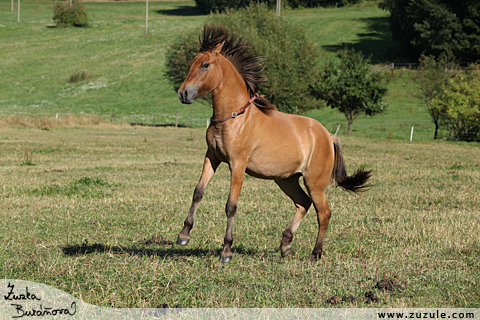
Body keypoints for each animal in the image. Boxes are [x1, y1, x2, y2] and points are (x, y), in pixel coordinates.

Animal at [176, 25, 372, 262]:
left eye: (205, 65)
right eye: (190, 64)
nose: (184, 93)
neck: (234, 118)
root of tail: (327, 136)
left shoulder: (238, 165)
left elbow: (231, 206)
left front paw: (227, 250)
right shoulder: (212, 157)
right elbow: (198, 192)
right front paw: (183, 235)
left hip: (315, 183)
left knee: (323, 213)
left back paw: (315, 254)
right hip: (286, 180)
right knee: (303, 203)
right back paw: (285, 244)